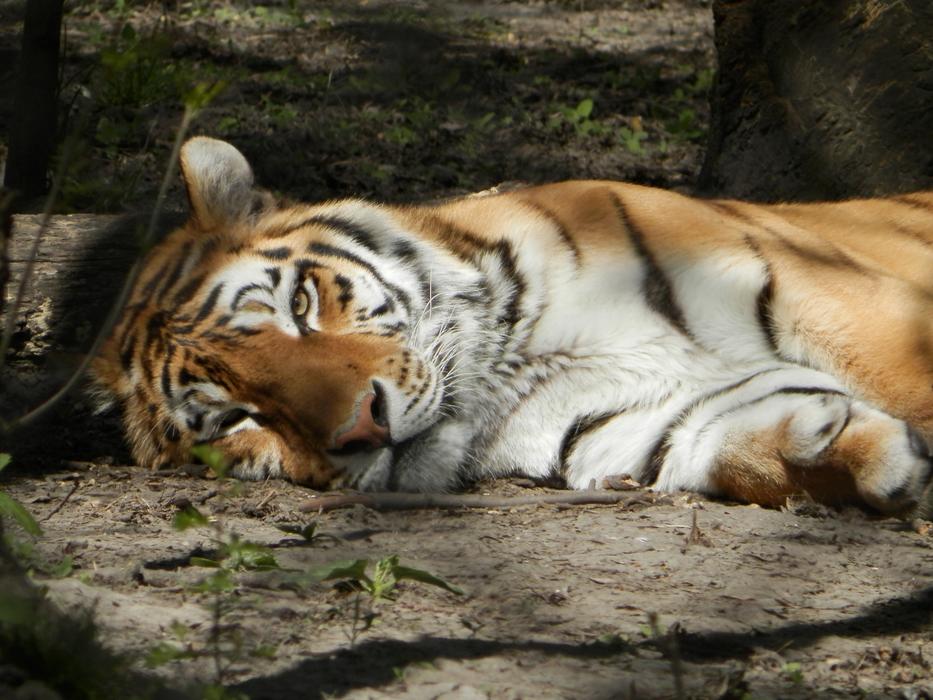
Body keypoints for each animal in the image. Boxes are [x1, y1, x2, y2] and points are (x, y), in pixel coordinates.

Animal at [90, 136, 933, 516]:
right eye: (239, 418)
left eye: (299, 305)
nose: (364, 428)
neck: (512, 361)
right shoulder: (645, 420)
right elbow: (743, 449)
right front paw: (871, 457)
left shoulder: (821, 291)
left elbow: (902, 380)